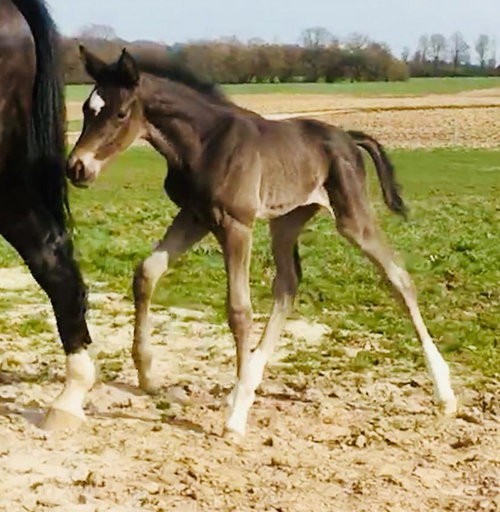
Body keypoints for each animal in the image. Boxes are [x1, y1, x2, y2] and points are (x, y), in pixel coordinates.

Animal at [67, 48, 458, 438]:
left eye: (120, 112)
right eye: (87, 109)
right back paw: (247, 380)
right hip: (286, 221)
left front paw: (236, 417)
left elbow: (239, 310)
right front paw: (148, 374)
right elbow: (147, 272)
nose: (76, 168)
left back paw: (445, 393)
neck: (205, 144)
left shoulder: (236, 224)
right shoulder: (195, 216)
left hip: (352, 216)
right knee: (288, 286)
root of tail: (347, 137)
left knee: (398, 277)